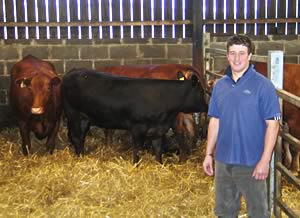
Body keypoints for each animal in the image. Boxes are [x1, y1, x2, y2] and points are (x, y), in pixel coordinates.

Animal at [61, 68, 206, 164]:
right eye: (201, 91)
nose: (206, 106)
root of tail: (71, 72)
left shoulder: (158, 129)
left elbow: (158, 149)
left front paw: (159, 164)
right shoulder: (137, 127)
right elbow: (137, 148)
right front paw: (135, 165)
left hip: (85, 118)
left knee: (81, 136)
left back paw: (82, 154)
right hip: (73, 113)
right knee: (75, 136)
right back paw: (79, 157)